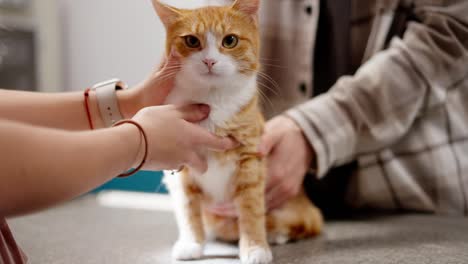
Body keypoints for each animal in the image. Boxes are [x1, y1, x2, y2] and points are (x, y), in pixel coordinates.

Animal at [152, 1, 324, 262]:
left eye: (230, 40)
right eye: (191, 41)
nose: (209, 61)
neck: (212, 101)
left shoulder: (251, 161)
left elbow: (252, 210)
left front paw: (255, 248)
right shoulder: (181, 168)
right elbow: (188, 208)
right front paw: (192, 243)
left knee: (301, 223)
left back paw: (276, 235)